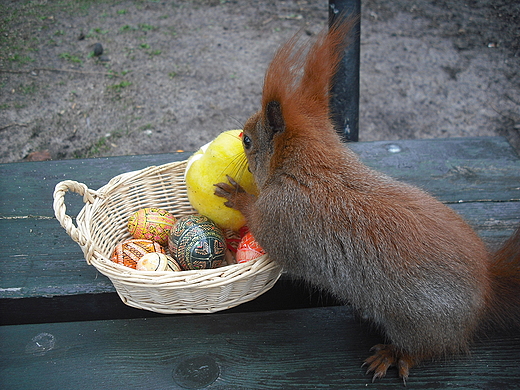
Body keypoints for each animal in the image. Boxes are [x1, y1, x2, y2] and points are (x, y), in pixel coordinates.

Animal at [212, 17, 520, 380]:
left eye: (247, 140)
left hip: (417, 326)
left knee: (430, 349)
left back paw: (393, 355)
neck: (312, 167)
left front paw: (237, 195)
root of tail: (486, 293)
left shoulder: (282, 217)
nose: (239, 135)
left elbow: (261, 224)